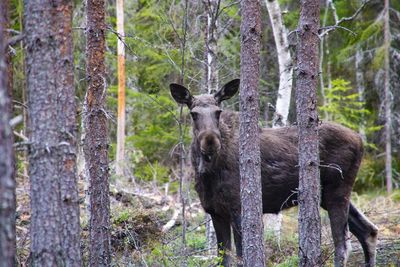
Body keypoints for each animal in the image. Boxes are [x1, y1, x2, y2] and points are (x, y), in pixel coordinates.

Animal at [169, 79, 378, 267]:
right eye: (193, 114)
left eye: (218, 112)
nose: (210, 142)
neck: (207, 173)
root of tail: (360, 140)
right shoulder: (216, 212)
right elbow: (224, 259)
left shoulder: (238, 208)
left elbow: (241, 257)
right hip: (327, 195)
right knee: (368, 230)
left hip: (338, 190)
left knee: (343, 245)